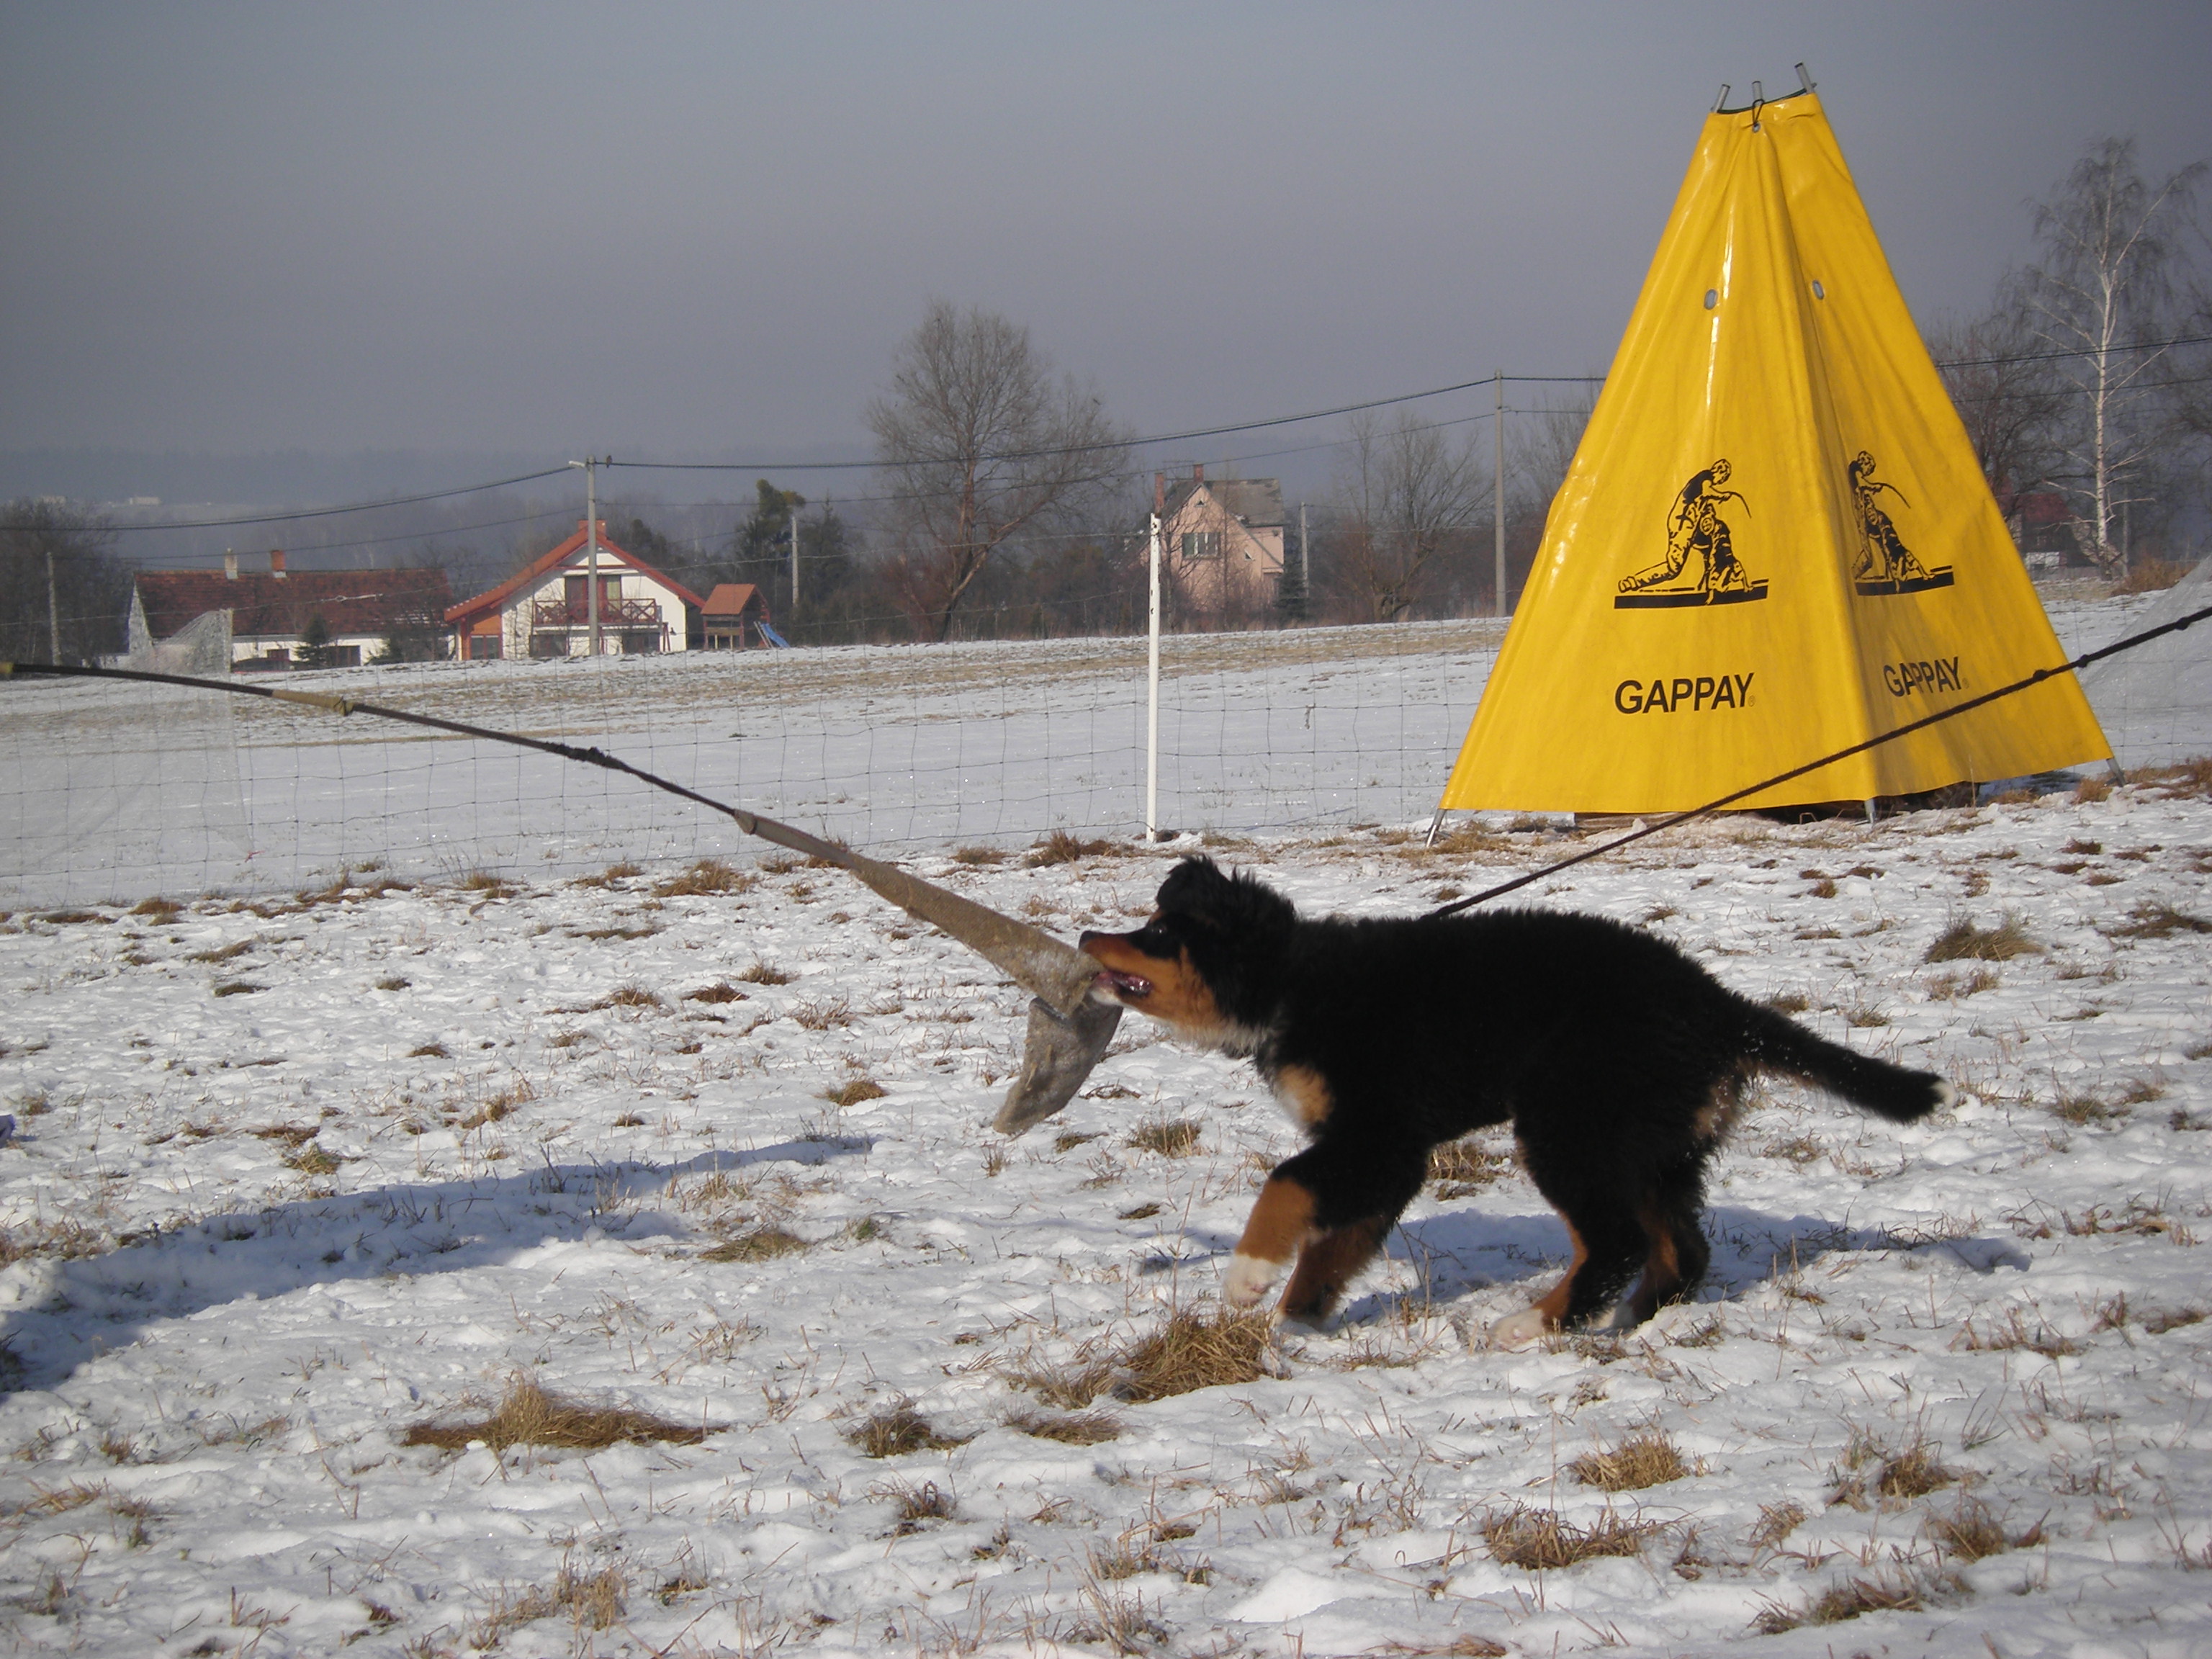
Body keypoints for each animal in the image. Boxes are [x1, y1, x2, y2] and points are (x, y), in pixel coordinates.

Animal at [1079, 863, 1946, 1344]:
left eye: (1159, 931)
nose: (1088, 936)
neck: (1293, 986)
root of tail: (1717, 1003)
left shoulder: (1377, 1134)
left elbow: (1285, 1185)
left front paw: (1249, 1279)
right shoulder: (1385, 1155)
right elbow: (1336, 1242)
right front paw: (1298, 1321)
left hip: (1570, 1126)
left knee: (1617, 1241)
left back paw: (1535, 1323)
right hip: (1650, 1141)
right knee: (1679, 1249)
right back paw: (1623, 1322)